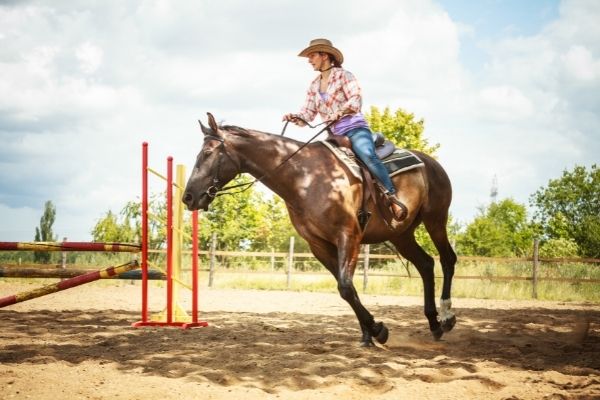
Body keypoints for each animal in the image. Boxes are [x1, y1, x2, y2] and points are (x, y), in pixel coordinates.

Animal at [183, 113, 454, 346]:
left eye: (207, 152)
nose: (188, 197)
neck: (305, 177)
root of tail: (431, 163)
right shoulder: (318, 245)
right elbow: (348, 289)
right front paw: (369, 333)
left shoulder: (349, 236)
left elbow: (345, 286)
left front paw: (378, 330)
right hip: (400, 234)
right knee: (426, 264)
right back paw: (434, 324)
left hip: (435, 220)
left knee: (447, 259)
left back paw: (447, 317)